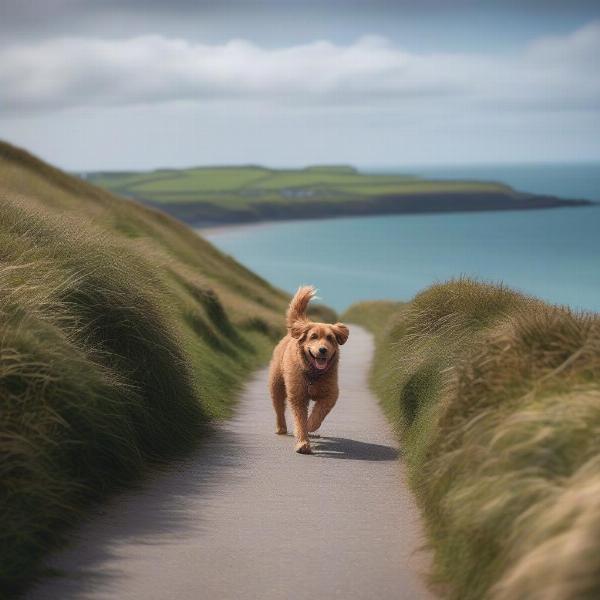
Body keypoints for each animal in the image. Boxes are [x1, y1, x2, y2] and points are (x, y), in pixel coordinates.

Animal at [268, 288, 350, 454]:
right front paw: (302, 443)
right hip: (276, 384)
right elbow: (300, 421)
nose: (323, 350)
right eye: (313, 336)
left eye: (330, 338)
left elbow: (319, 412)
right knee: (279, 407)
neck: (313, 374)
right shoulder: (298, 396)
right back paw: (281, 427)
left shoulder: (331, 394)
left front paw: (311, 425)